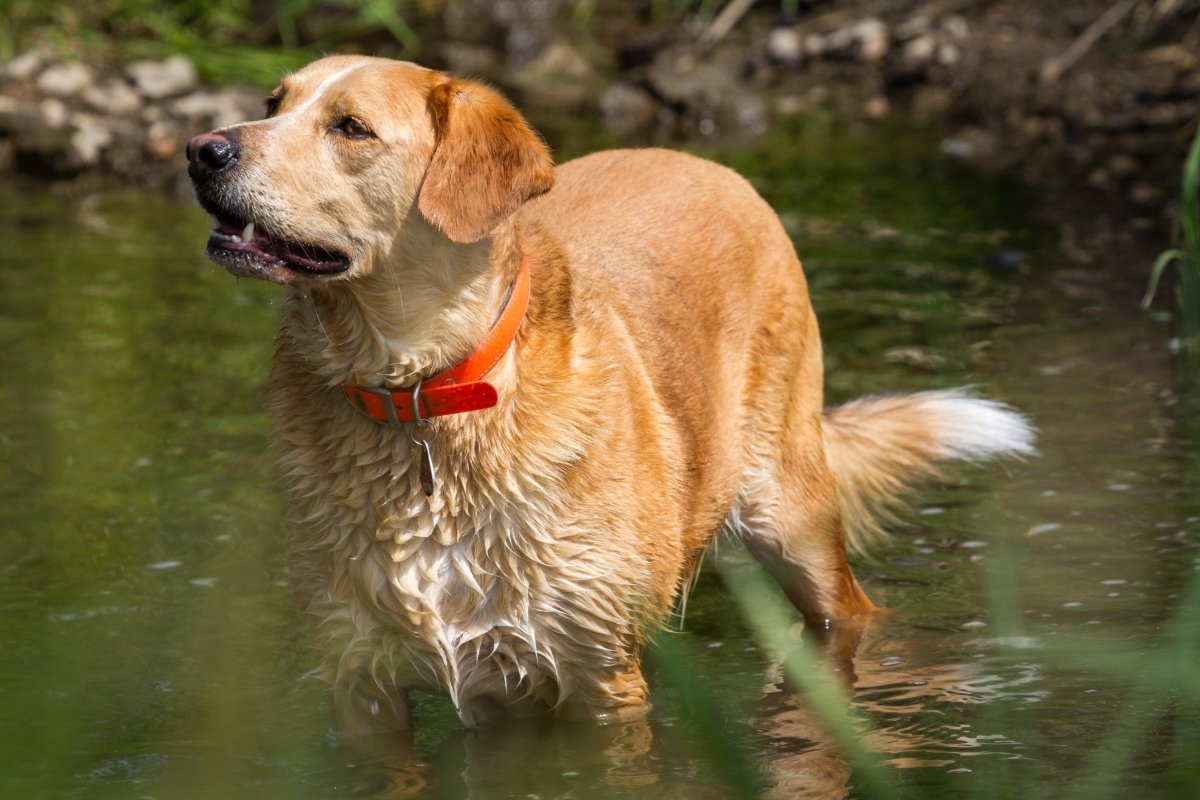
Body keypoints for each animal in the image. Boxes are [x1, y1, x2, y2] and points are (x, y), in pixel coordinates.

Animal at [184, 54, 1032, 738]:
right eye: (272, 102)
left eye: (351, 128)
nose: (201, 150)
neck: (422, 398)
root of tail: (702, 160)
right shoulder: (363, 686)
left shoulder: (598, 680)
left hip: (794, 522)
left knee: (848, 614)